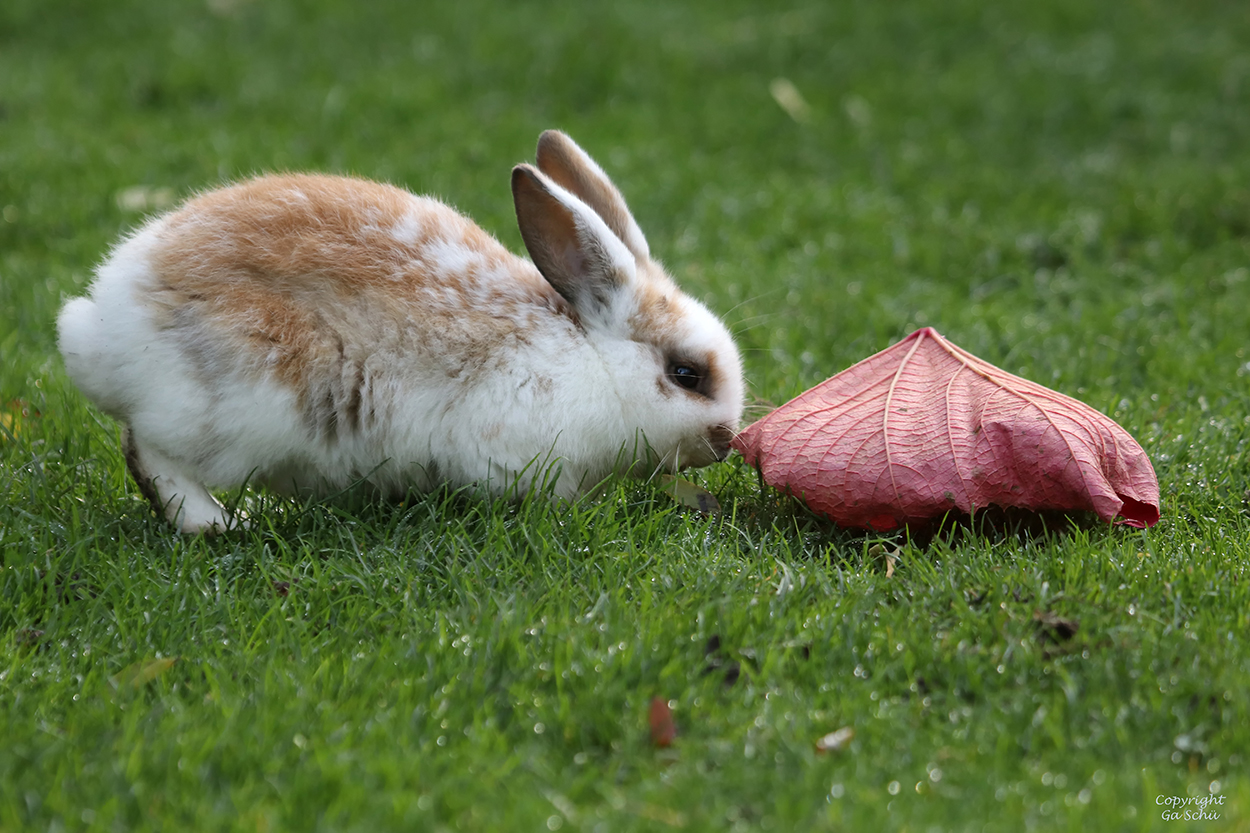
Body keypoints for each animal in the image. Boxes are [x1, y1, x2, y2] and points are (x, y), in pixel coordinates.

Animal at [58, 130, 740, 532]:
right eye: (686, 375)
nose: (726, 440)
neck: (590, 356)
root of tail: (101, 318)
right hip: (238, 408)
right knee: (150, 452)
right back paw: (221, 524)